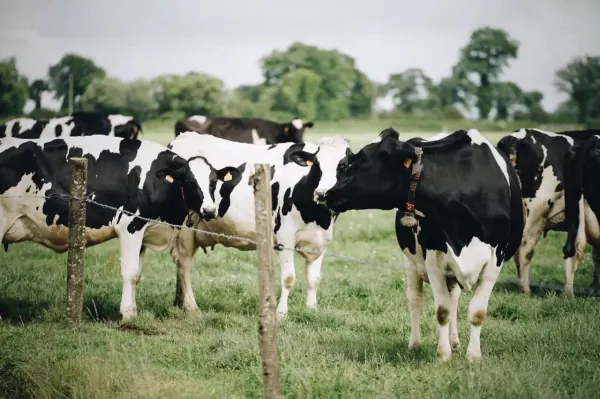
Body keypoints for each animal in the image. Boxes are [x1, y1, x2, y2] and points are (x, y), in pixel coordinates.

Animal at [0, 136, 239, 320]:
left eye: (213, 182)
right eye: (190, 182)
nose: (210, 210)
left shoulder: (143, 232)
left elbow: (137, 274)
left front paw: (132, 309)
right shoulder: (130, 225)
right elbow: (130, 272)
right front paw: (128, 314)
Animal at [166, 132, 350, 318]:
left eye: (344, 166)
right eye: (317, 165)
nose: (322, 193)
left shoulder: (320, 241)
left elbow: (314, 279)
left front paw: (311, 310)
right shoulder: (285, 237)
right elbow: (288, 278)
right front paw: (281, 313)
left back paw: (179, 303)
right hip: (185, 226)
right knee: (183, 261)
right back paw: (191, 306)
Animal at [322, 129, 524, 362]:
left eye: (363, 159)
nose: (327, 194)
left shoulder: (495, 259)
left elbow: (476, 312)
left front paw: (473, 356)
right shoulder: (434, 257)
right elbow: (443, 311)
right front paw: (443, 355)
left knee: (454, 299)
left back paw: (455, 342)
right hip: (411, 261)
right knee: (416, 300)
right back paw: (415, 343)